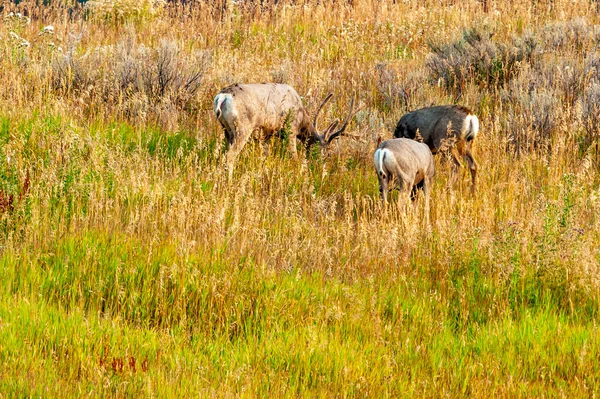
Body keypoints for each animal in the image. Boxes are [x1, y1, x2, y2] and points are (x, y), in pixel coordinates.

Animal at [214, 83, 352, 178]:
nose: (323, 168)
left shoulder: (267, 134)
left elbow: (264, 156)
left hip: (227, 130)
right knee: (230, 155)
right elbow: (294, 156)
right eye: (328, 152)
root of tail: (223, 96)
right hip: (243, 128)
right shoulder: (290, 129)